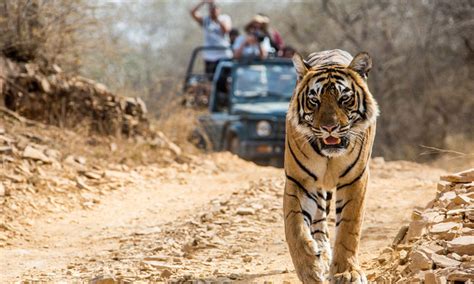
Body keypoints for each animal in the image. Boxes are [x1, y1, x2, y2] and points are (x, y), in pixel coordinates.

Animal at [284, 49, 380, 284]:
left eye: (344, 99)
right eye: (314, 100)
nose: (329, 128)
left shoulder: (355, 179)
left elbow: (349, 228)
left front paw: (347, 272)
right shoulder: (299, 180)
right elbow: (294, 227)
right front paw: (309, 270)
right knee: (318, 221)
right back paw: (321, 254)